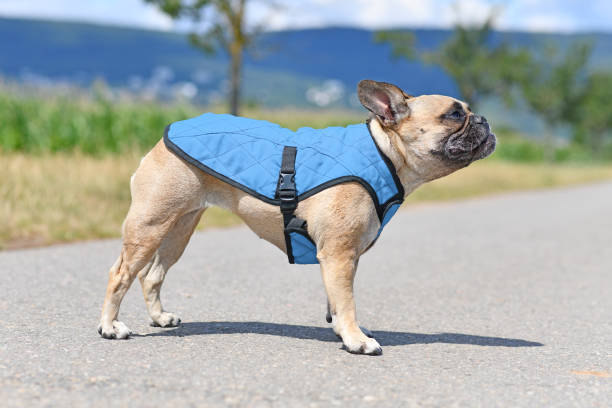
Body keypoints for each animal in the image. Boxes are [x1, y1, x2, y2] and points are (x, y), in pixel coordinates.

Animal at [97, 79, 498, 354]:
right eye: (454, 114)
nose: (484, 119)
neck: (383, 152)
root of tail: (164, 138)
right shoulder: (338, 254)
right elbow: (347, 300)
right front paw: (357, 340)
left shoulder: (341, 257)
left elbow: (336, 300)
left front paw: (342, 332)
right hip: (150, 224)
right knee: (120, 273)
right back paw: (110, 327)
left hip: (180, 227)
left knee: (153, 274)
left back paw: (160, 318)